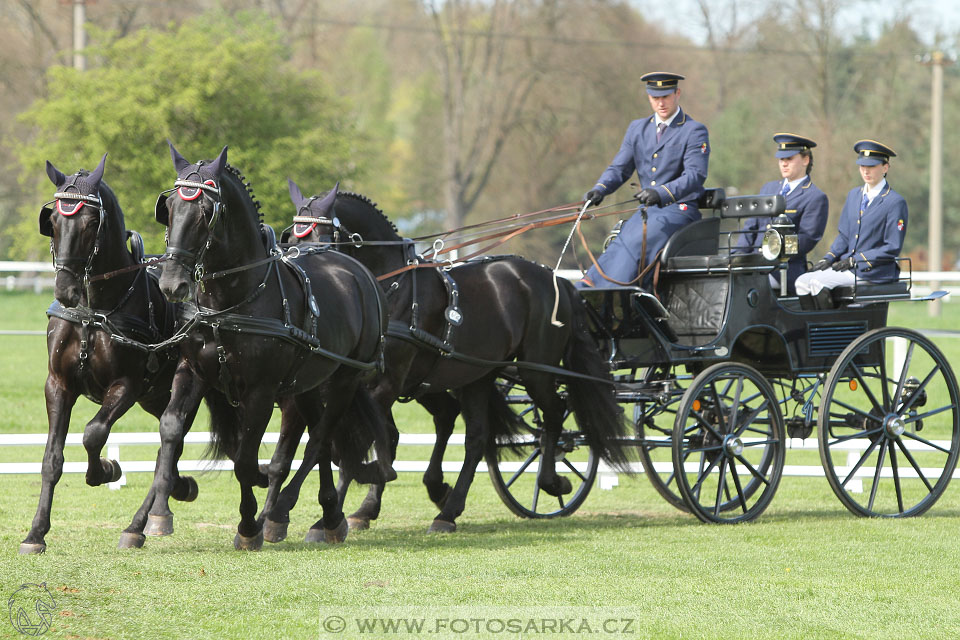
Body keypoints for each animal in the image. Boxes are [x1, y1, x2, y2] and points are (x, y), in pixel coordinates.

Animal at [22, 154, 197, 552]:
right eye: (53, 221)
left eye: (90, 223)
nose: (66, 289)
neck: (93, 310)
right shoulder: (58, 384)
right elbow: (51, 459)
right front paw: (36, 533)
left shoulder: (126, 385)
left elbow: (94, 433)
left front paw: (105, 469)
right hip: (155, 397)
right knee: (170, 450)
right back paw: (174, 494)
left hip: (187, 386)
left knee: (170, 441)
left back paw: (141, 523)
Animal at [146, 145, 394, 552]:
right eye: (167, 207)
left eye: (206, 211)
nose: (171, 283)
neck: (230, 303)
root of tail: (358, 271)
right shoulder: (192, 373)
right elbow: (171, 429)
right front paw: (153, 516)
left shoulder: (260, 392)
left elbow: (246, 459)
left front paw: (249, 525)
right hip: (306, 382)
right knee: (320, 443)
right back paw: (327, 515)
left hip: (344, 379)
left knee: (320, 440)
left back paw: (295, 512)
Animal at [262, 181, 632, 536]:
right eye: (292, 235)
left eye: (325, 237)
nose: (306, 272)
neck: (390, 287)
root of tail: (554, 277)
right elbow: (351, 442)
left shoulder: (381, 385)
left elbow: (351, 443)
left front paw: (325, 515)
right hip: (472, 376)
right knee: (473, 436)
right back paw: (445, 507)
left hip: (536, 371)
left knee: (552, 416)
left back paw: (550, 481)